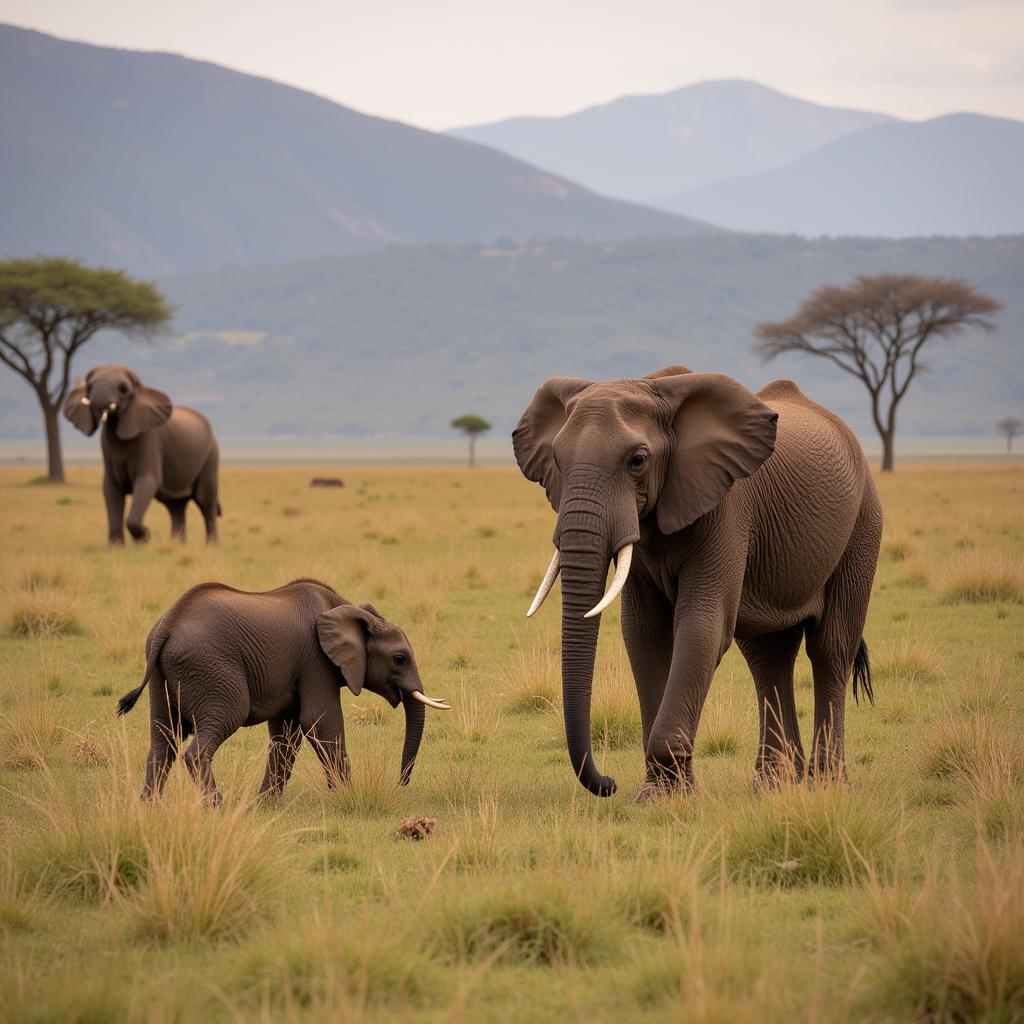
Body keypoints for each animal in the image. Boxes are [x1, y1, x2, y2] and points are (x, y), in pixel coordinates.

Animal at [63, 366, 220, 544]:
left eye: (123, 389)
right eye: (88, 387)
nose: (102, 412)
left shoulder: (149, 441)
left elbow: (147, 481)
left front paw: (146, 538)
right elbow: (110, 488)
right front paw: (116, 546)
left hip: (210, 455)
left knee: (205, 502)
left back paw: (211, 546)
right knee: (175, 506)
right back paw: (177, 545)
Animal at [116, 577, 448, 798]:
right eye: (399, 659)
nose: (401, 784)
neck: (347, 609)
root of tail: (168, 625)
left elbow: (287, 731)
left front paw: (265, 803)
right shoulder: (316, 659)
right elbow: (319, 720)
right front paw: (346, 796)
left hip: (162, 678)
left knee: (163, 740)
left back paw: (150, 808)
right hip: (212, 670)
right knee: (207, 734)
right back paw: (216, 807)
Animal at [516, 366, 884, 798]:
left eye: (638, 460)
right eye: (556, 459)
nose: (608, 784)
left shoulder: (727, 509)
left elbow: (701, 626)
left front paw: (665, 794)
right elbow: (643, 633)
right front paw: (660, 793)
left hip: (863, 524)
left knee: (831, 649)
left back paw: (826, 784)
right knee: (767, 656)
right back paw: (773, 786)